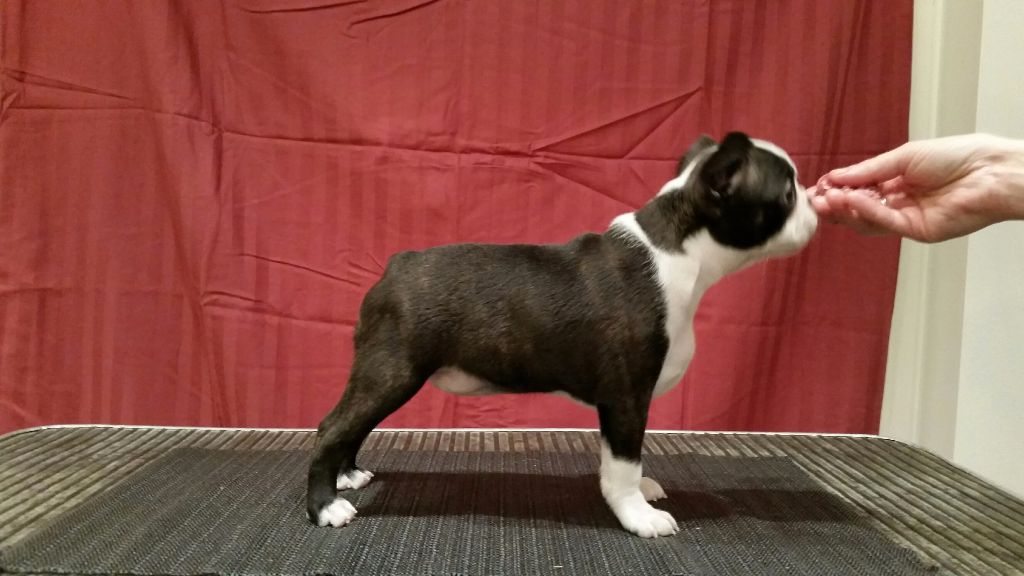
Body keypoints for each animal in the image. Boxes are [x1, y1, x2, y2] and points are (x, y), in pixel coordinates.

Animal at [306, 132, 818, 538]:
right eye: (786, 193)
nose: (815, 201)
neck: (680, 250)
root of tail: (395, 267)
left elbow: (624, 457)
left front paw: (641, 493)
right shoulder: (627, 395)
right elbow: (624, 461)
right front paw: (637, 514)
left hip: (385, 375)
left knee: (352, 426)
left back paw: (348, 476)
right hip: (392, 371)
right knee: (333, 426)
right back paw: (325, 506)